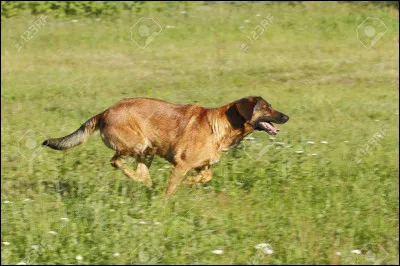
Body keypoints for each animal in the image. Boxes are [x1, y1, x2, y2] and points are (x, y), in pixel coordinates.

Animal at [43, 96, 288, 196]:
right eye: (266, 107)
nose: (286, 116)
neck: (224, 124)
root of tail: (105, 112)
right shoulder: (181, 165)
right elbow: (171, 190)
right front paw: (166, 203)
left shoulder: (203, 166)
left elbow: (205, 177)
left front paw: (189, 183)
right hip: (138, 144)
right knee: (116, 161)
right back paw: (140, 180)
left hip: (147, 151)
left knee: (139, 171)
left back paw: (146, 183)